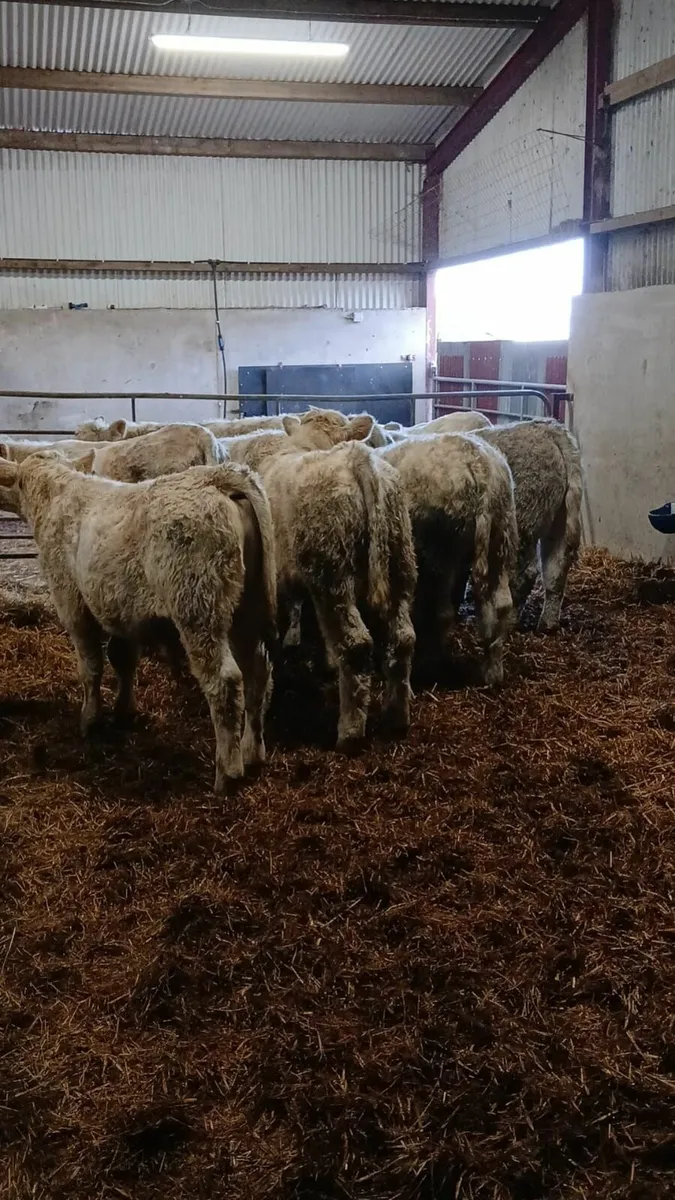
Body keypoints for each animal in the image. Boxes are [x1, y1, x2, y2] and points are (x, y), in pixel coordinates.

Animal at [0, 453, 277, 793]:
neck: (57, 493)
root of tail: (215, 477)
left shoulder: (71, 603)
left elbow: (90, 666)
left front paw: (90, 720)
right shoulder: (122, 612)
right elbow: (123, 659)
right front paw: (124, 711)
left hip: (198, 611)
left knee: (224, 682)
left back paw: (228, 772)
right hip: (245, 610)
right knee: (258, 674)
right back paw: (253, 752)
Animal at [222, 413, 417, 748]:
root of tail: (357, 458)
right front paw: (326, 660)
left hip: (332, 574)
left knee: (356, 643)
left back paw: (350, 732)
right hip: (398, 563)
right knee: (402, 637)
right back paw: (396, 715)